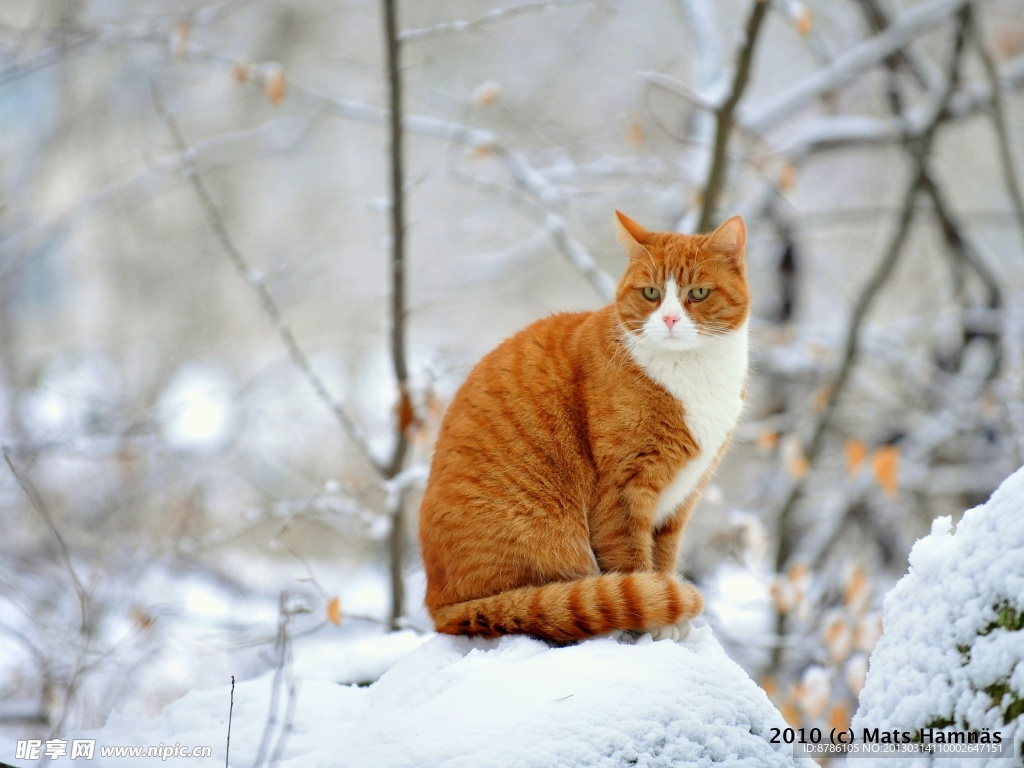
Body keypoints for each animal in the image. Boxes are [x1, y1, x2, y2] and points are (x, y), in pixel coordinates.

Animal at [417, 211, 753, 643]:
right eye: (650, 293)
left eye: (697, 293)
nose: (670, 318)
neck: (691, 373)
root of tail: (439, 606)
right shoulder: (623, 487)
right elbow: (633, 561)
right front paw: (656, 621)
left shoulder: (680, 501)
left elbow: (662, 559)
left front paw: (670, 615)